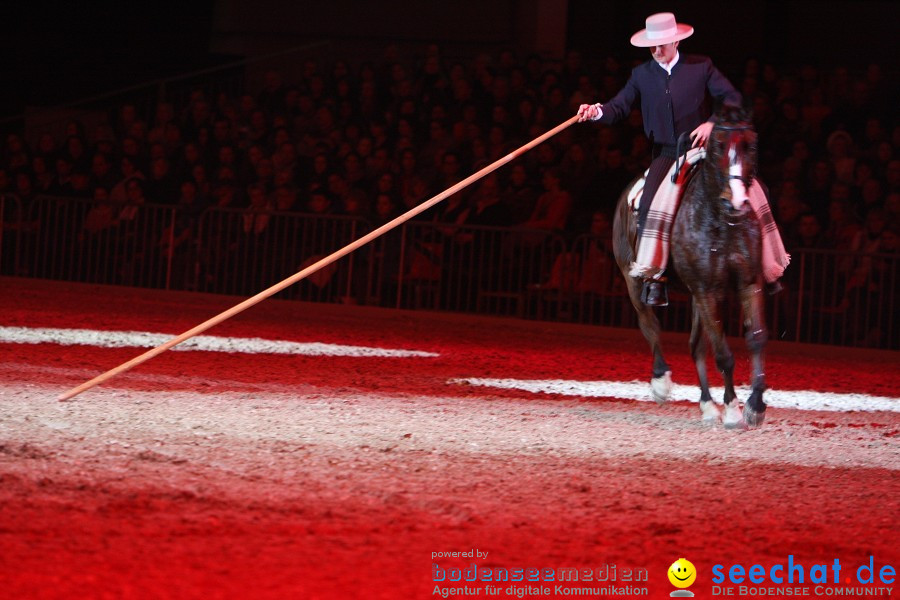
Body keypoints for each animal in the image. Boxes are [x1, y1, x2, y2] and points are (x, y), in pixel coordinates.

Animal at [616, 106, 768, 426]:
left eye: (752, 145)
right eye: (718, 146)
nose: (736, 201)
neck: (720, 218)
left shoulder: (747, 281)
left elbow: (757, 338)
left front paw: (755, 405)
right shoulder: (706, 289)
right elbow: (722, 353)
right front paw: (733, 409)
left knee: (696, 345)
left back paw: (708, 405)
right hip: (634, 279)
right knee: (650, 325)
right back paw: (661, 381)